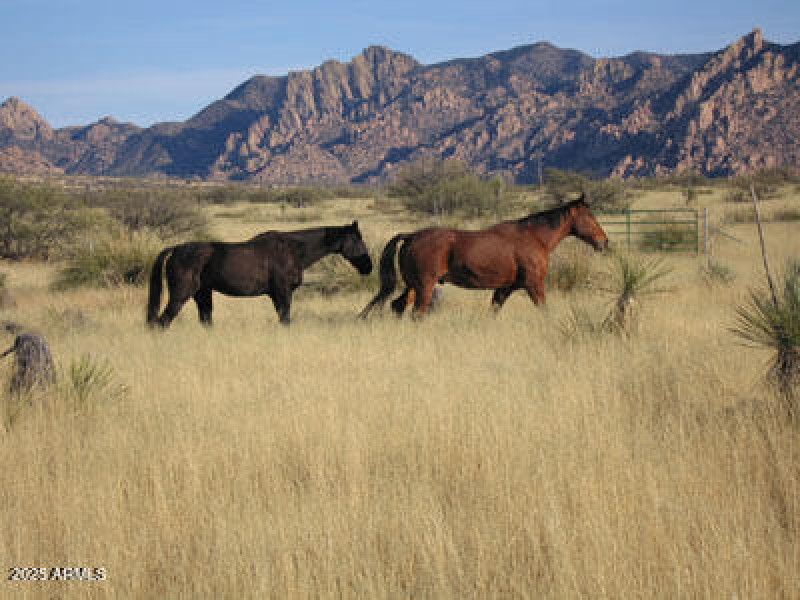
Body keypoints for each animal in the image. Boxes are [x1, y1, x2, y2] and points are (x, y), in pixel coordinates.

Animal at [147, 221, 372, 328]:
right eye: (358, 240)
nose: (368, 267)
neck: (293, 250)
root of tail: (176, 249)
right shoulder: (283, 293)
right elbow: (285, 320)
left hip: (203, 295)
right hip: (180, 296)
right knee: (162, 322)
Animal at [360, 195, 609, 318]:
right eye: (589, 217)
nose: (604, 242)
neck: (534, 237)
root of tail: (411, 236)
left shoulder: (505, 288)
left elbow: (493, 312)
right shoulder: (534, 285)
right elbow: (544, 311)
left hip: (412, 286)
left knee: (397, 306)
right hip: (424, 287)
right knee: (416, 313)